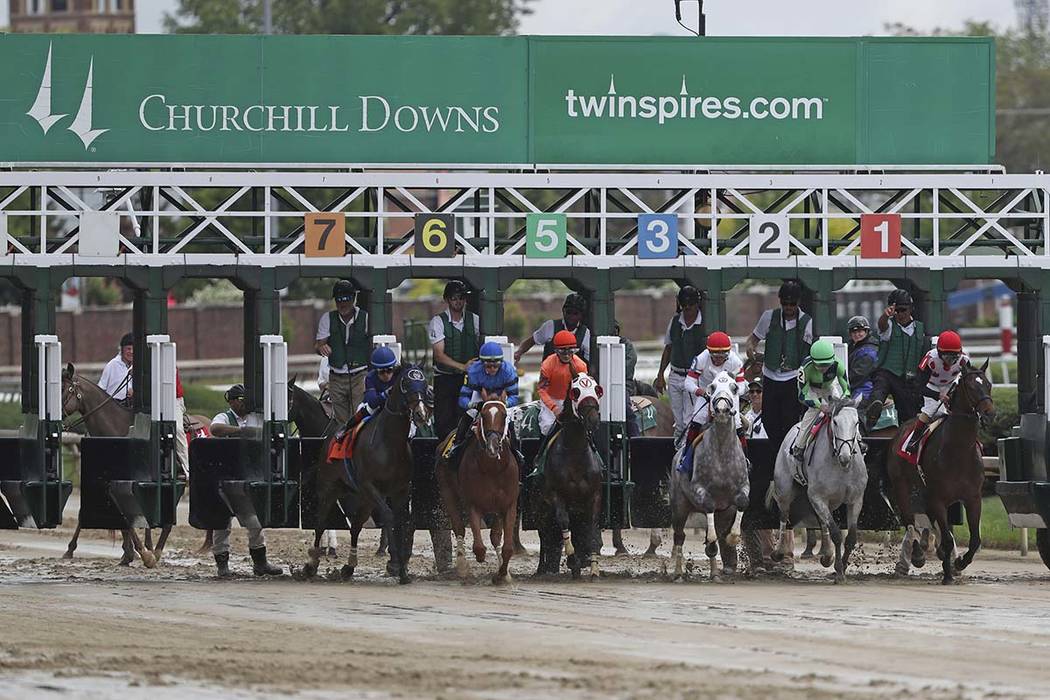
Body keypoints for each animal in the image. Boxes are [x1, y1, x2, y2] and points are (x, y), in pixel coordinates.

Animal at [302, 365, 432, 583]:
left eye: (424, 384)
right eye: (406, 384)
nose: (421, 414)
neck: (390, 443)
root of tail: (329, 437)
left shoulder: (401, 489)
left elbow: (402, 521)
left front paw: (403, 571)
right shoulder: (370, 485)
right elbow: (388, 516)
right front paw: (396, 563)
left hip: (365, 498)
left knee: (355, 526)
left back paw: (348, 567)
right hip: (329, 488)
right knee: (320, 524)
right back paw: (311, 566)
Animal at [432, 394, 518, 587]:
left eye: (504, 416)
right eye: (484, 416)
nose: (493, 447)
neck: (493, 468)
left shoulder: (508, 505)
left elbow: (507, 548)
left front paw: (502, 574)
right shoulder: (472, 504)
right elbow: (479, 547)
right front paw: (475, 562)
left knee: (495, 537)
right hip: (447, 491)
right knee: (459, 529)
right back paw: (462, 566)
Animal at [667, 371, 751, 579]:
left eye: (734, 388)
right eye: (711, 388)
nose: (721, 409)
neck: (721, 454)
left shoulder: (742, 487)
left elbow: (743, 502)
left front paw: (733, 537)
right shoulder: (698, 488)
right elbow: (709, 504)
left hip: (723, 513)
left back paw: (714, 573)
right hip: (679, 506)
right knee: (679, 536)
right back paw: (678, 572)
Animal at [768, 396, 865, 583]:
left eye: (856, 423)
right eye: (835, 422)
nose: (845, 457)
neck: (840, 466)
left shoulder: (856, 500)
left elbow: (850, 538)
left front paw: (841, 566)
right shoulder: (818, 497)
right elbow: (836, 533)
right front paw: (839, 571)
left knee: (821, 520)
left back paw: (827, 554)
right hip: (785, 489)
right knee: (784, 515)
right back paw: (779, 552)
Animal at [886, 361, 991, 587]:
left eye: (988, 384)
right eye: (971, 387)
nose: (989, 412)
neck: (959, 451)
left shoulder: (973, 497)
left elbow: (975, 539)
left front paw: (959, 562)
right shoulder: (939, 499)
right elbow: (948, 538)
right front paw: (948, 574)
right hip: (902, 485)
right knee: (909, 520)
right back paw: (917, 554)